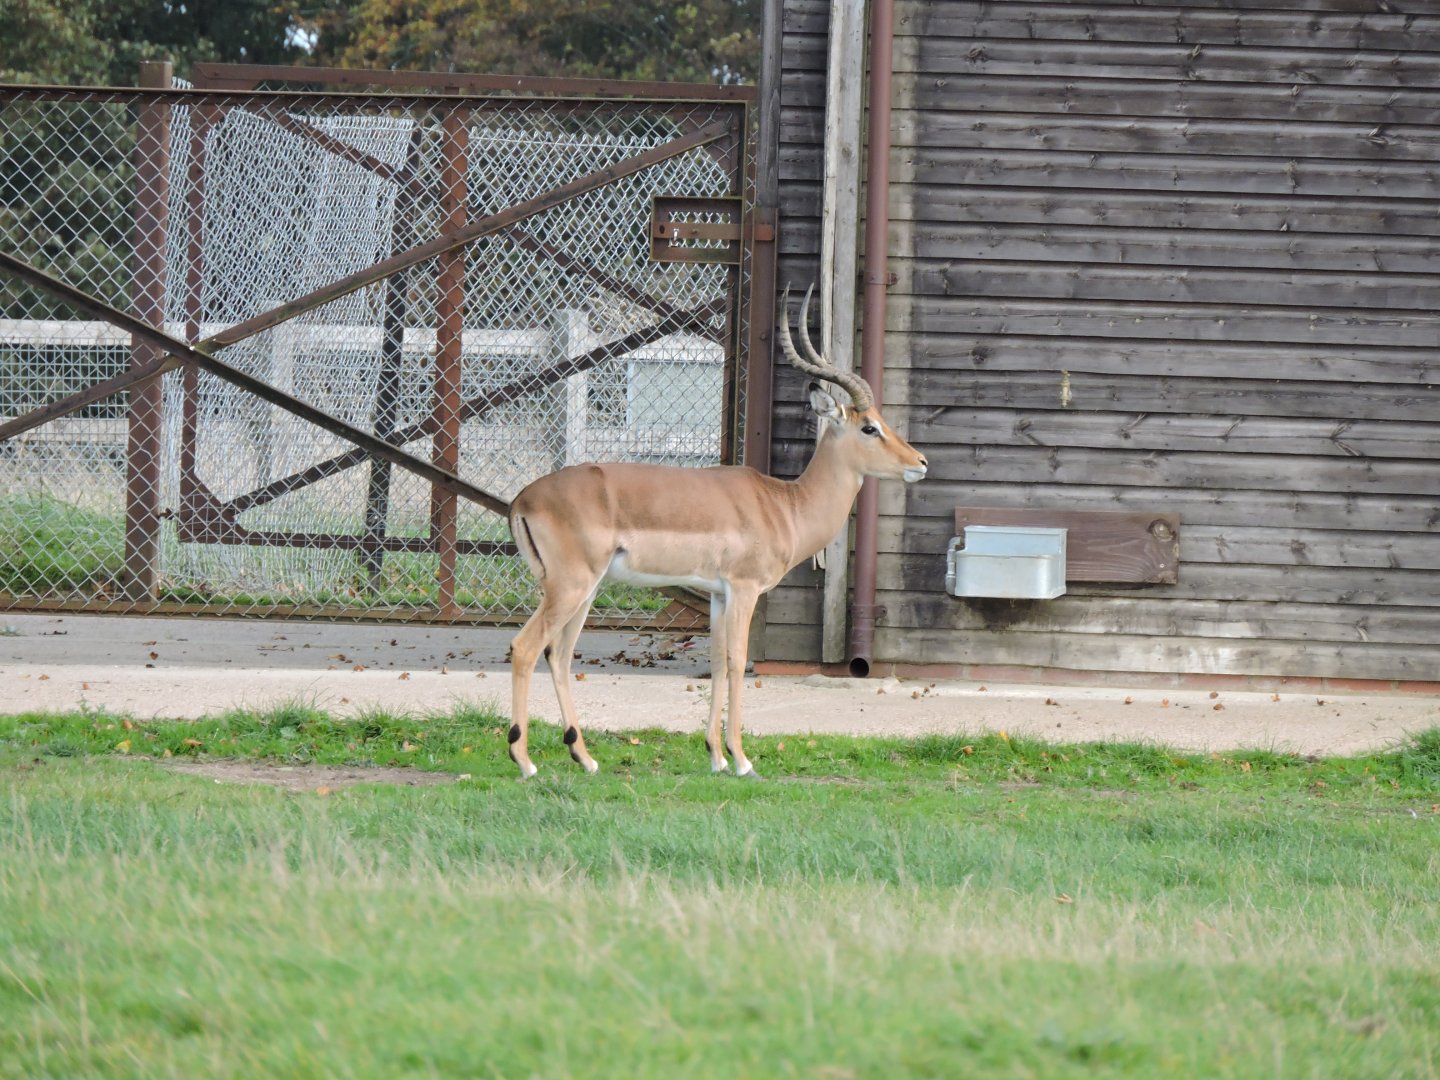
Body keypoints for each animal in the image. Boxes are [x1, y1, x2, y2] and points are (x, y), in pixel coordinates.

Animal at [505, 285, 927, 779]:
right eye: (869, 427)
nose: (919, 463)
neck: (784, 505)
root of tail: (523, 498)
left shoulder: (719, 595)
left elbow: (719, 663)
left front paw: (716, 756)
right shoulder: (744, 589)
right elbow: (738, 660)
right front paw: (743, 760)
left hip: (582, 590)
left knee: (559, 654)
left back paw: (585, 758)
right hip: (571, 586)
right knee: (526, 647)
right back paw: (525, 761)